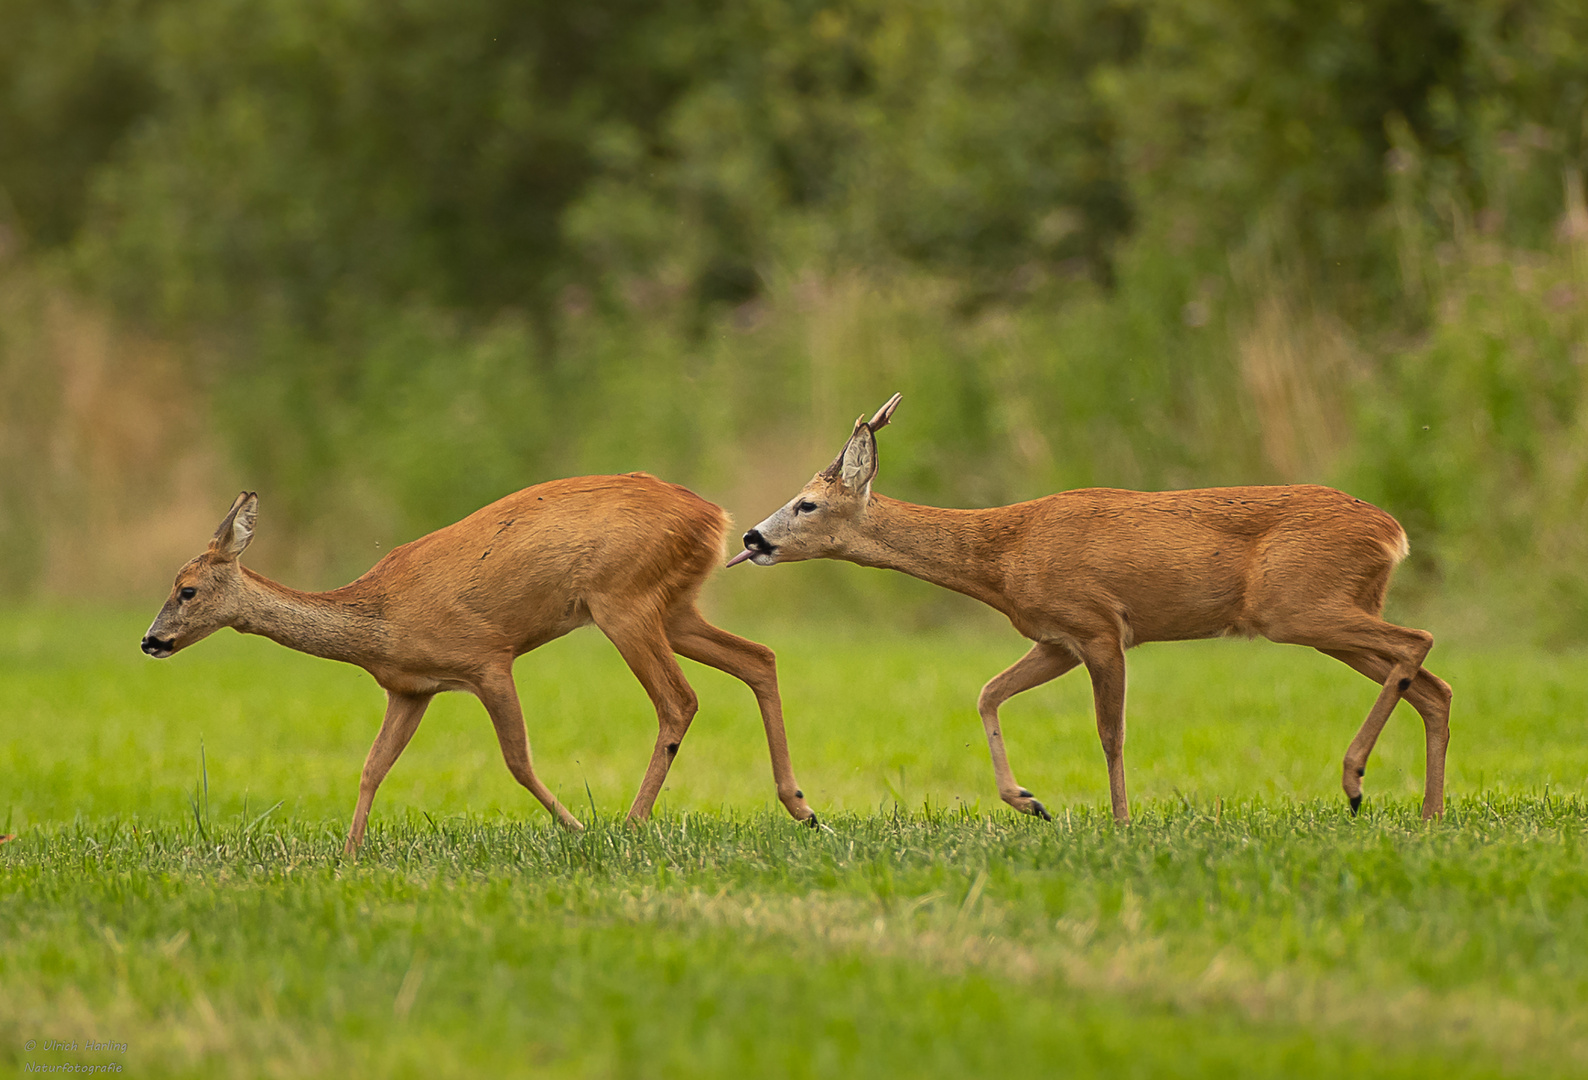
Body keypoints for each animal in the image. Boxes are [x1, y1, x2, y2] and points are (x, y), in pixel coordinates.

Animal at [142, 473, 819, 851]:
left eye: (187, 591)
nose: (151, 641)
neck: (379, 619)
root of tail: (715, 516)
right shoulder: (411, 689)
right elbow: (371, 767)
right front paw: (350, 855)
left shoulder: (487, 659)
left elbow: (516, 760)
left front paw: (577, 830)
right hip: (672, 605)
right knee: (759, 657)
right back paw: (802, 809)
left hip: (622, 600)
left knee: (680, 700)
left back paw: (628, 825)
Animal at [730, 392, 1454, 819]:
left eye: (806, 505)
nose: (752, 538)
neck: (1003, 554)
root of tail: (1393, 532)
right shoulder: (1056, 638)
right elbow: (988, 693)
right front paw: (1027, 801)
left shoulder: (1101, 626)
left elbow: (1111, 733)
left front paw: (1121, 822)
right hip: (1330, 614)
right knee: (1432, 686)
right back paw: (1427, 814)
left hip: (1298, 607)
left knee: (1419, 642)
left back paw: (1356, 781)